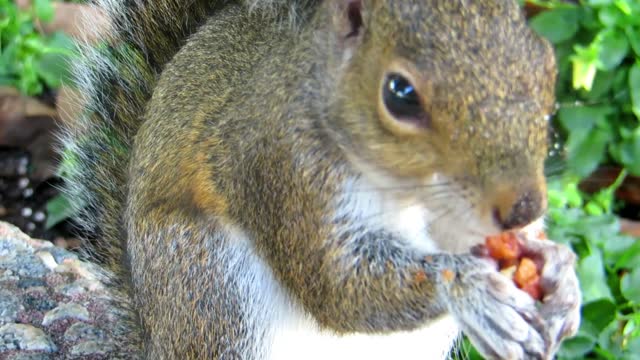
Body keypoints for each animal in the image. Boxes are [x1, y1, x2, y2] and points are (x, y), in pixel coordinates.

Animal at [60, 0, 580, 360]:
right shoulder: (280, 168)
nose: (524, 207)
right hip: (209, 286)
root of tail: (153, 340)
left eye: (545, 63)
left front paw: (560, 271)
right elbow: (337, 288)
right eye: (400, 94)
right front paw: (469, 288)